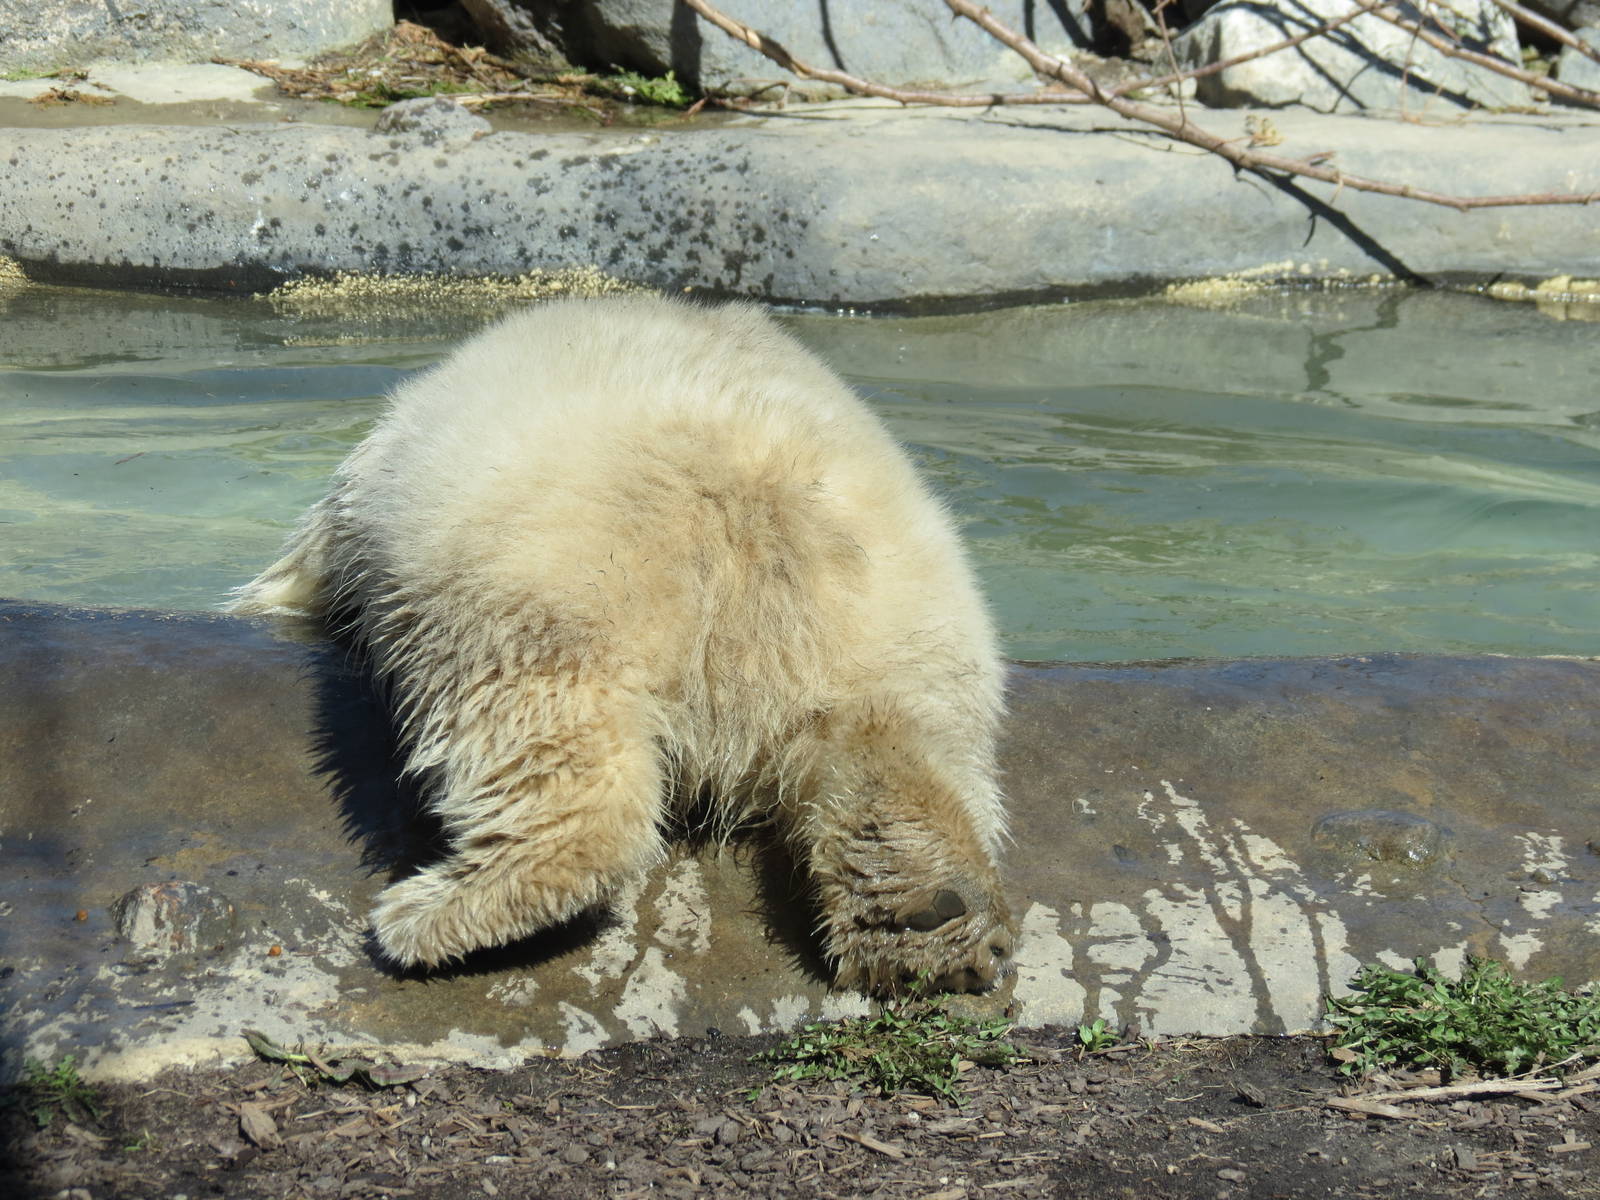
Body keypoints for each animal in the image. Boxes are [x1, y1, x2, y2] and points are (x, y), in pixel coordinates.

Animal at [229, 295, 1014, 993]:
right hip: (905, 623)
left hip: (540, 570)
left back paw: (443, 912)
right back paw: (928, 916)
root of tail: (757, 513)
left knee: (546, 727)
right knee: (893, 733)